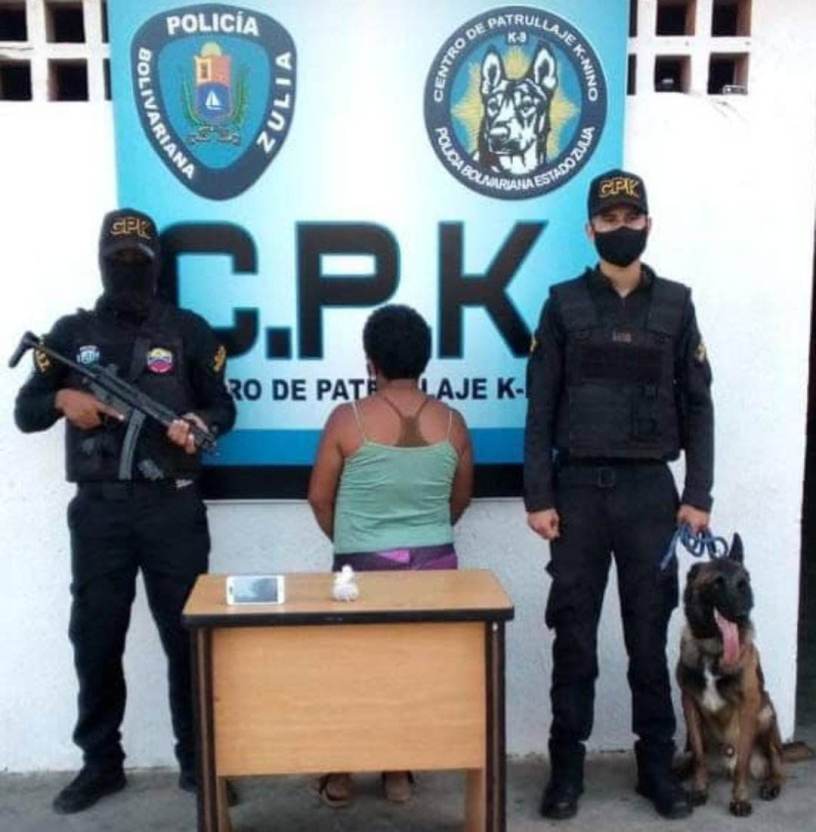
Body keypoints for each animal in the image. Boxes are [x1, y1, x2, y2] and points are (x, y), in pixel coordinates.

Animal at [676, 534, 785, 816]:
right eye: (717, 583)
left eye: (743, 583)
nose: (742, 614)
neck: (713, 648)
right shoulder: (689, 703)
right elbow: (699, 756)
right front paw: (699, 790)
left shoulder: (749, 706)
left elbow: (742, 764)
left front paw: (740, 799)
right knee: (695, 755)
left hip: (766, 714)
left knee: (778, 763)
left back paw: (772, 784)